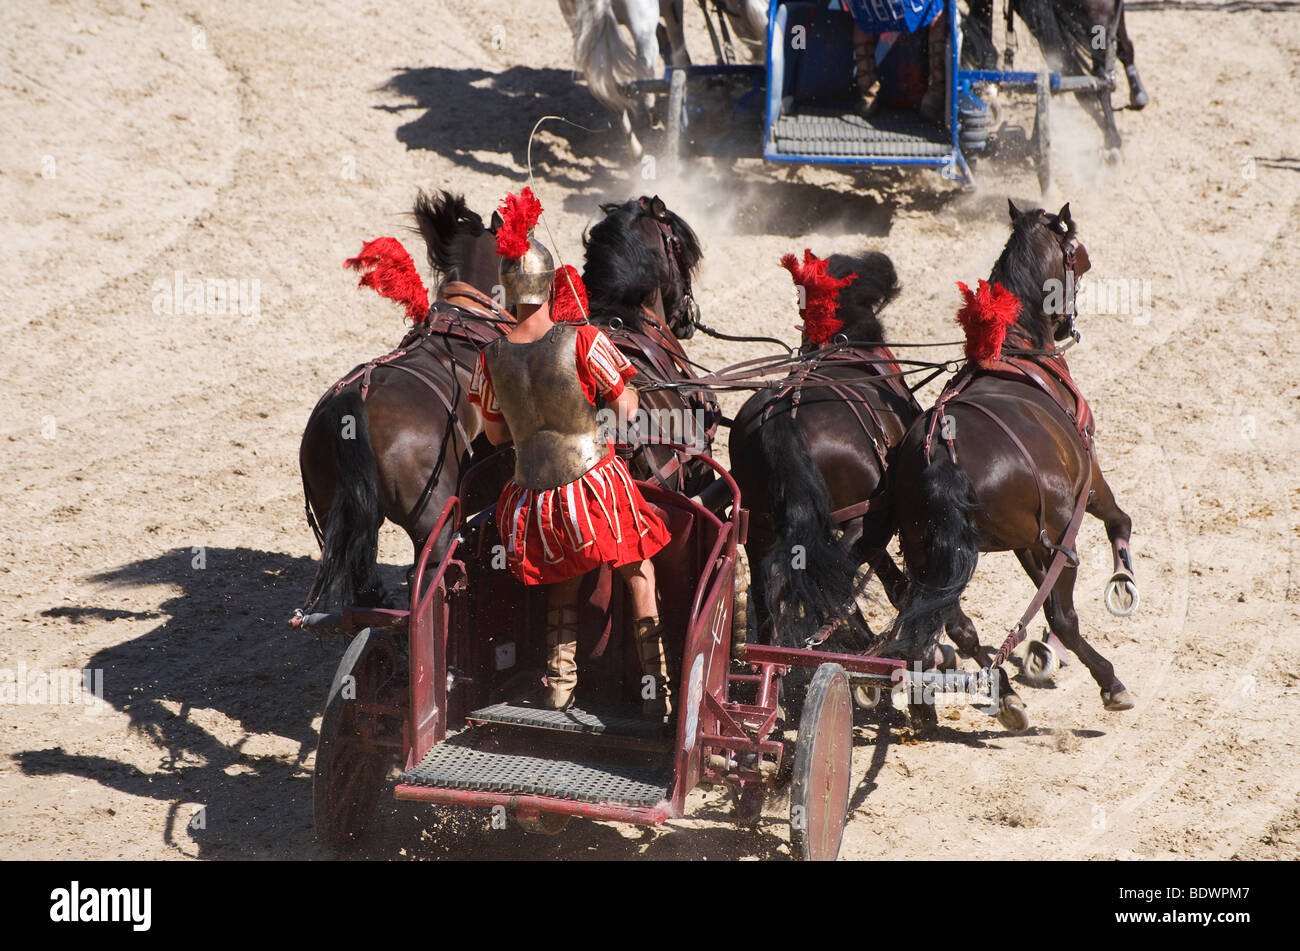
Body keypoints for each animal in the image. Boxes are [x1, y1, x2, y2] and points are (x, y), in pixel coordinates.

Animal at [556, 0, 759, 157]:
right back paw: (656, 124)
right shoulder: (673, 10)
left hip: (582, 29)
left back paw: (637, 150)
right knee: (643, 73)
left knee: (606, 89)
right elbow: (679, 50)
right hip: (642, 27)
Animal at [894, 198, 1138, 722]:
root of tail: (943, 452)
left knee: (953, 623)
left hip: (933, 552)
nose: (1068, 323)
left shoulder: (1025, 540)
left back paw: (993, 692)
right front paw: (1124, 578)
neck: (1015, 347)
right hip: (1055, 538)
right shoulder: (1087, 480)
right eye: (1076, 256)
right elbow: (1119, 519)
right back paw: (1108, 681)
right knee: (1062, 618)